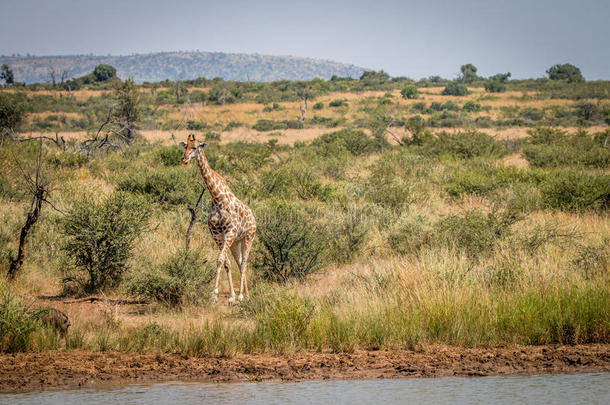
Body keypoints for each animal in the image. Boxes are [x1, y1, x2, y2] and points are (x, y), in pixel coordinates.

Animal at [180, 134, 256, 302]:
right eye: (185, 146)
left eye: (195, 147)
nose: (185, 160)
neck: (217, 198)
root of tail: (254, 218)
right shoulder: (217, 234)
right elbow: (226, 262)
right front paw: (229, 296)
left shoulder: (230, 232)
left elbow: (220, 259)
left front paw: (218, 293)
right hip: (236, 242)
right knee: (239, 262)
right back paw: (246, 294)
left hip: (248, 237)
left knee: (244, 263)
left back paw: (242, 295)